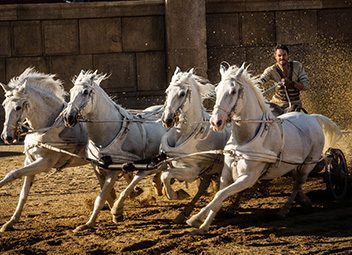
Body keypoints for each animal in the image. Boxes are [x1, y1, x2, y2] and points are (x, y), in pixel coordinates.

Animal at [0, 67, 118, 231]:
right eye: (4, 105)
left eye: (18, 107)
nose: (7, 137)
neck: (46, 127)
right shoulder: (29, 160)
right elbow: (23, 193)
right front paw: (11, 222)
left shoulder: (44, 163)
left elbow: (14, 173)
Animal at [62, 70, 167, 231]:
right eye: (71, 91)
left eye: (85, 92)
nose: (68, 117)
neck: (108, 130)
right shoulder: (97, 167)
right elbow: (105, 196)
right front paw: (89, 223)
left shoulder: (114, 169)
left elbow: (102, 197)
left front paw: (114, 214)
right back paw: (157, 185)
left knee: (147, 172)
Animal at [157, 67, 230, 223]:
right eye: (167, 91)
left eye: (182, 93)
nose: (167, 120)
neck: (185, 133)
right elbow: (164, 175)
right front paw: (168, 191)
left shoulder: (192, 171)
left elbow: (166, 176)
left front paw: (177, 194)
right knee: (204, 187)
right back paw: (184, 214)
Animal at [186, 63, 342, 233]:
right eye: (217, 89)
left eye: (233, 91)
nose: (216, 122)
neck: (244, 140)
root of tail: (312, 118)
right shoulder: (226, 173)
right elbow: (219, 195)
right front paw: (203, 225)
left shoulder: (249, 178)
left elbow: (221, 194)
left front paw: (194, 218)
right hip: (293, 165)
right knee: (296, 183)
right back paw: (303, 201)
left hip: (308, 164)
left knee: (297, 185)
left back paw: (284, 210)